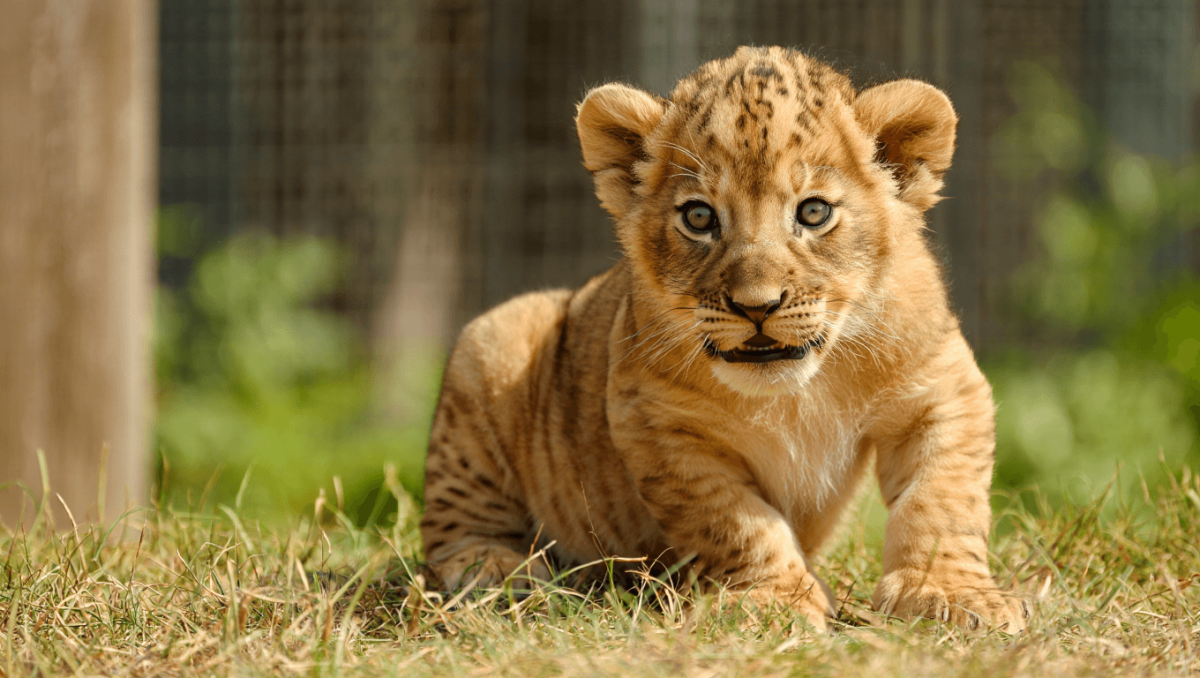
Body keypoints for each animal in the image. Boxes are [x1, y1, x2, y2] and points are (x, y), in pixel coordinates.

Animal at [418, 46, 1029, 632]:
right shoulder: (659, 425)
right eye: (698, 217)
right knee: (452, 529)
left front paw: (951, 593)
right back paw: (496, 569)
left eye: (813, 212)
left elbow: (941, 500)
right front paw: (772, 602)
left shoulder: (943, 390)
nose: (756, 306)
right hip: (491, 341)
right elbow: (737, 522)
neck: (797, 392)